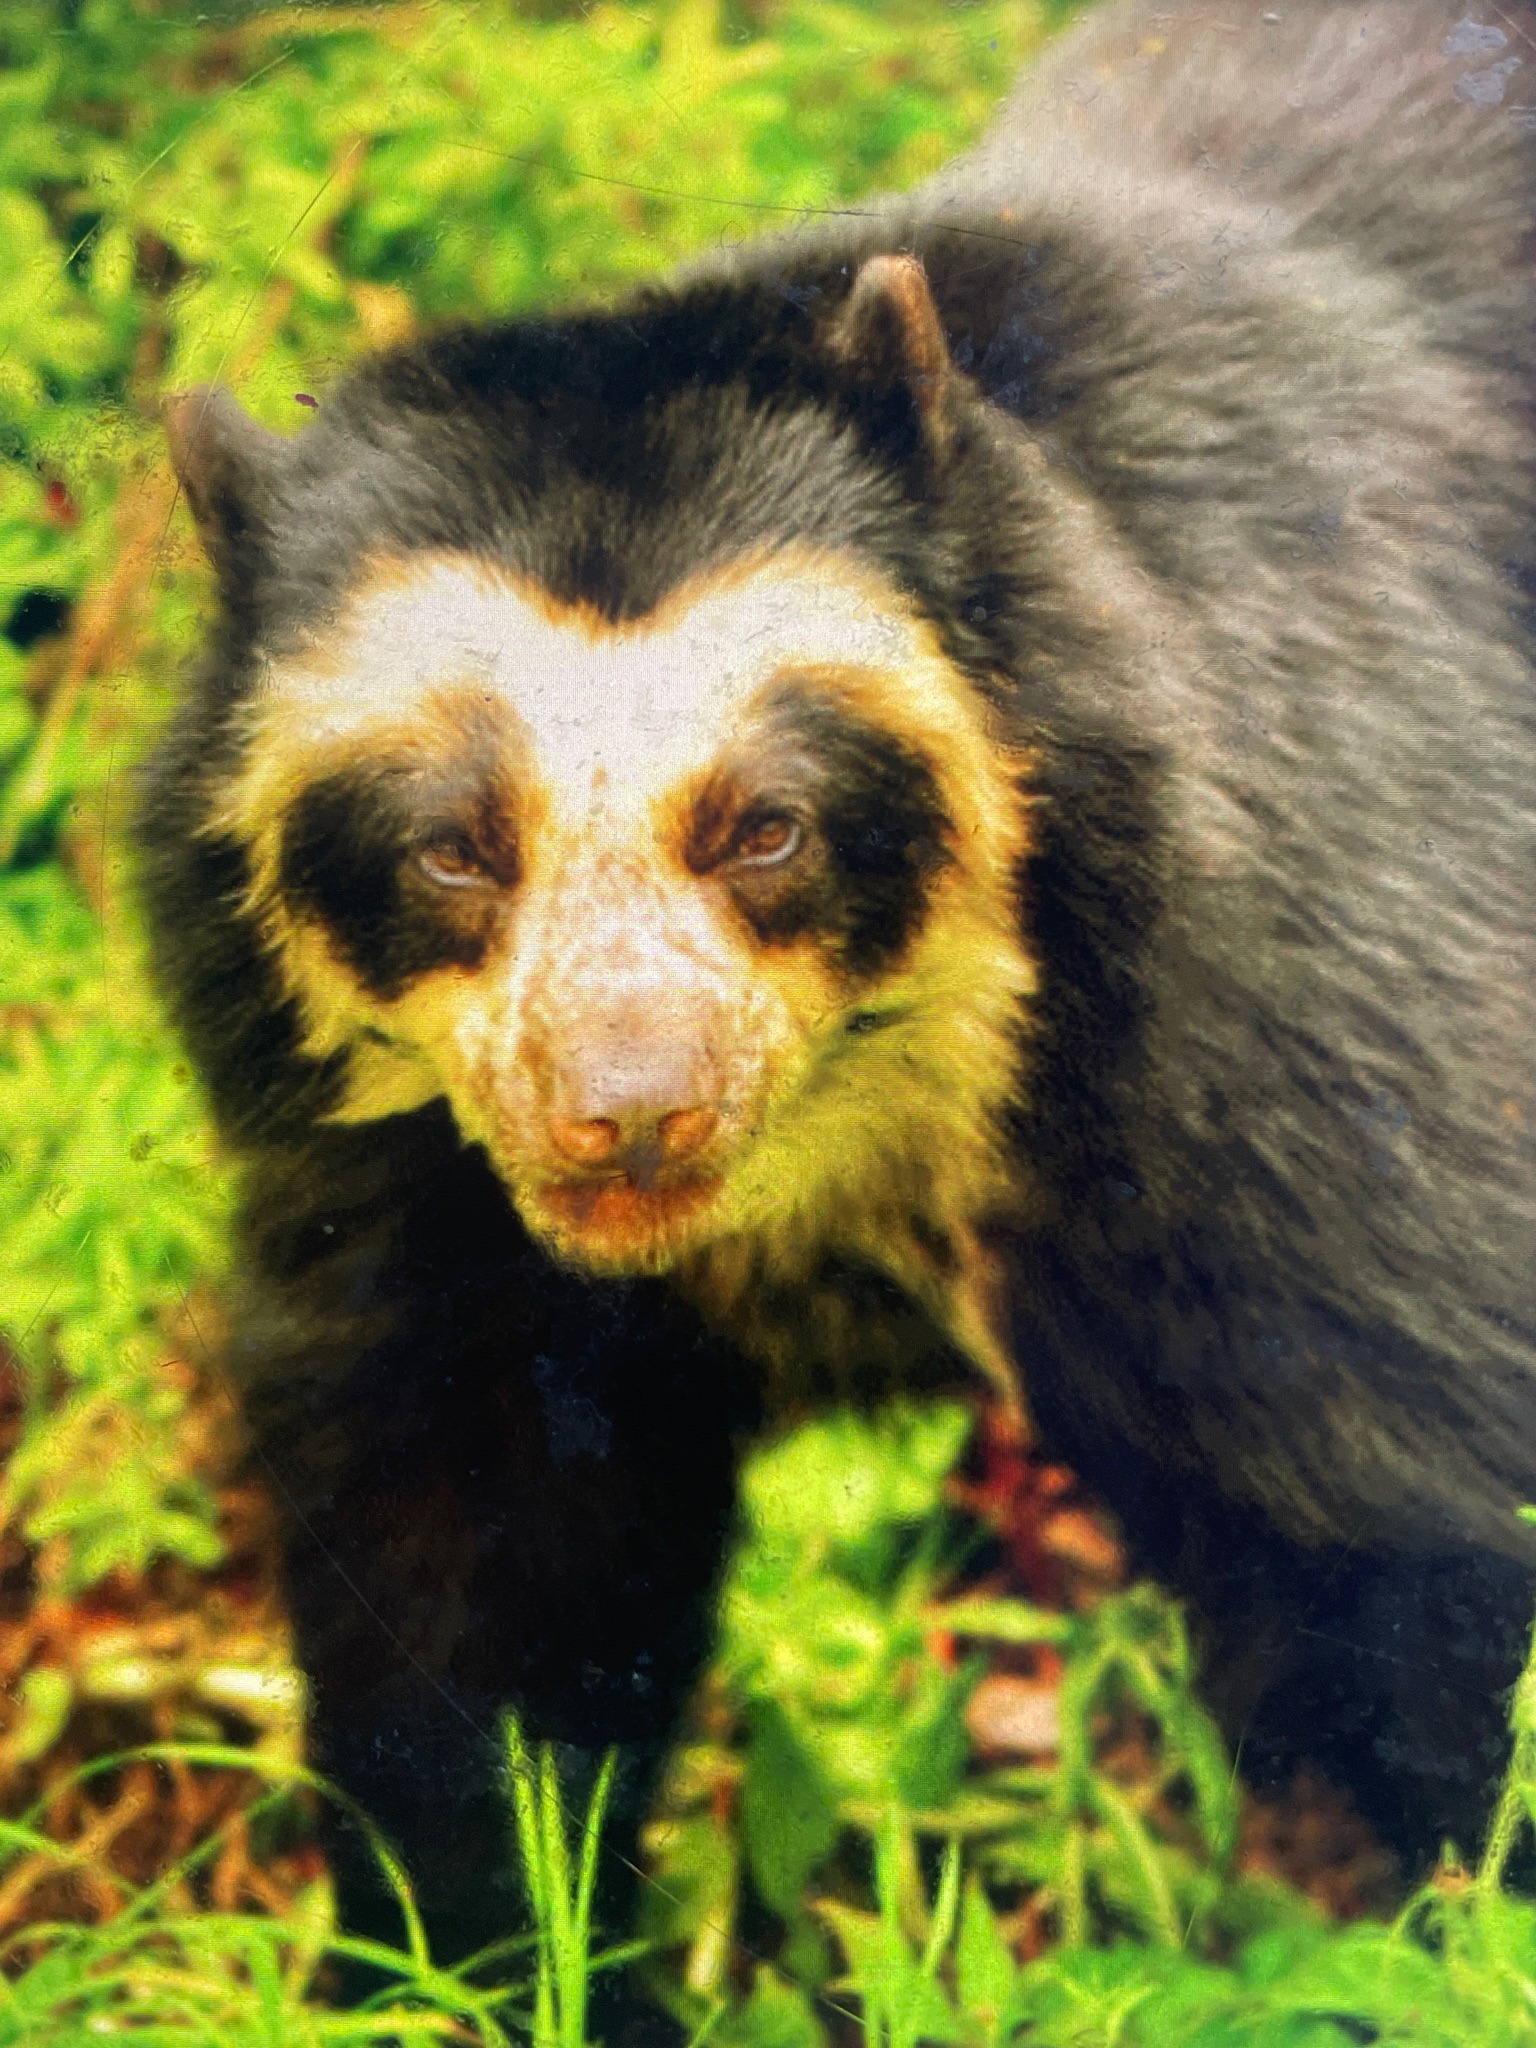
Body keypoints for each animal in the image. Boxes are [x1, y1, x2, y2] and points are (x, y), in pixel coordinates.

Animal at [135, 0, 1536, 1966]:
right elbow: (472, 1571)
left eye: (768, 825)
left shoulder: (1288, 1025)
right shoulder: (418, 1191)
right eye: (451, 848)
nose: (630, 1109)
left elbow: (1432, 1497)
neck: (878, 1120)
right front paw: (497, 1951)